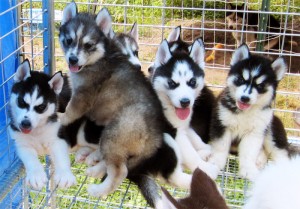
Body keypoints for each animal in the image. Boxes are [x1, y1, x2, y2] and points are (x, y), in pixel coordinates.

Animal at [8, 59, 76, 190]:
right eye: (21, 101)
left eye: (41, 107)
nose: (25, 124)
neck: (37, 131)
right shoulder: (22, 144)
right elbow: (30, 158)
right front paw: (36, 176)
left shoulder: (57, 138)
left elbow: (61, 157)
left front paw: (64, 175)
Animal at [57, 2, 191, 207]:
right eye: (69, 41)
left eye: (88, 45)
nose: (72, 59)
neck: (98, 59)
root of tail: (155, 136)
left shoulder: (82, 97)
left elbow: (70, 111)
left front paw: (60, 116)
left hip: (113, 134)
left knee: (120, 170)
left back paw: (98, 189)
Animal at [152, 38, 218, 179]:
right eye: (171, 83)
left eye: (192, 82)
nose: (185, 102)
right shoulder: (175, 132)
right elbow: (191, 154)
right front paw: (205, 168)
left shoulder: (184, 126)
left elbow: (195, 138)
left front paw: (207, 148)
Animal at [209, 43, 290, 180]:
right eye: (241, 80)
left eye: (260, 86)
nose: (245, 98)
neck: (244, 113)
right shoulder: (221, 124)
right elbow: (220, 147)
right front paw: (215, 162)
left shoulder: (254, 133)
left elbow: (249, 153)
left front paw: (248, 170)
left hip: (271, 131)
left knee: (281, 155)